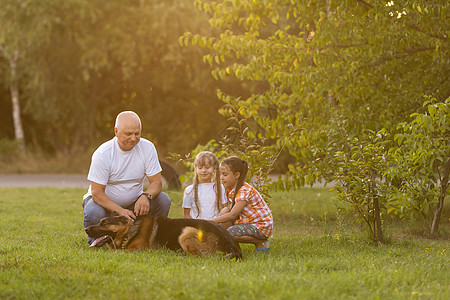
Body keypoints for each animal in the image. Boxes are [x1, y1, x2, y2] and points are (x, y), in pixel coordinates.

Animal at [83, 214, 243, 258]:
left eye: (104, 223)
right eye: (100, 221)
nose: (86, 229)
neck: (129, 230)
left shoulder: (136, 250)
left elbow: (117, 251)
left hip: (186, 231)